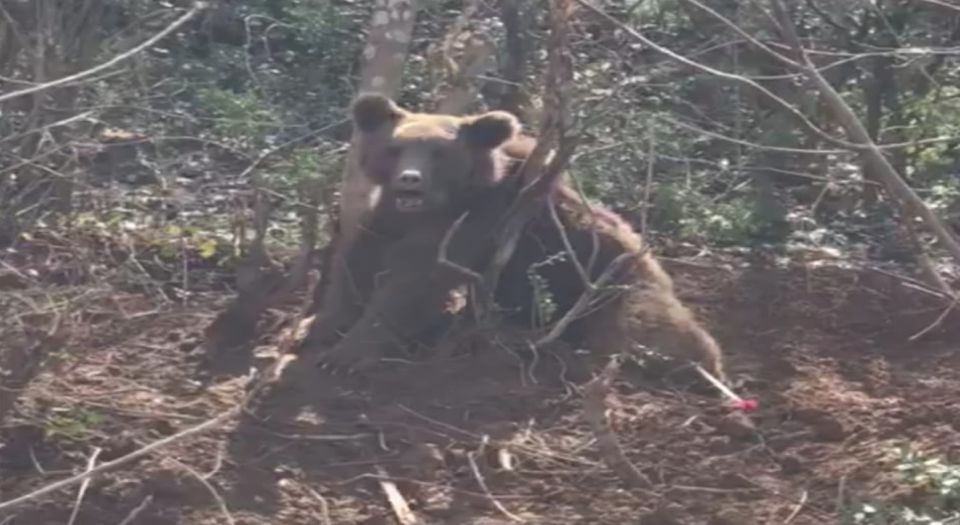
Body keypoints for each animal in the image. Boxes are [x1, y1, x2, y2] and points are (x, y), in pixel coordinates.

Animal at [304, 93, 724, 380]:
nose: (411, 179)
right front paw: (316, 325)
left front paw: (346, 354)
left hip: (617, 287)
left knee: (649, 331)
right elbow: (359, 260)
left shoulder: (476, 220)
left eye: (439, 153)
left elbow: (414, 282)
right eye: (395, 148)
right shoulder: (389, 218)